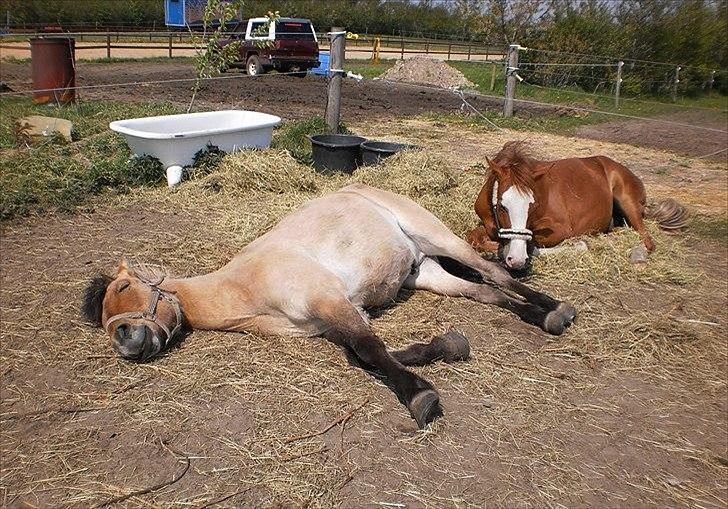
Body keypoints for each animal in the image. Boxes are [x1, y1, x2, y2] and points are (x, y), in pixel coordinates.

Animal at [84, 185, 576, 426]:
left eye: (125, 288)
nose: (125, 340)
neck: (248, 285)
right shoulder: (333, 321)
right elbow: (363, 355)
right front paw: (448, 346)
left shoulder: (333, 303)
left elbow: (373, 351)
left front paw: (419, 396)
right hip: (424, 271)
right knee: (488, 293)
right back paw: (539, 315)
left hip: (437, 236)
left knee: (496, 273)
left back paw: (555, 310)